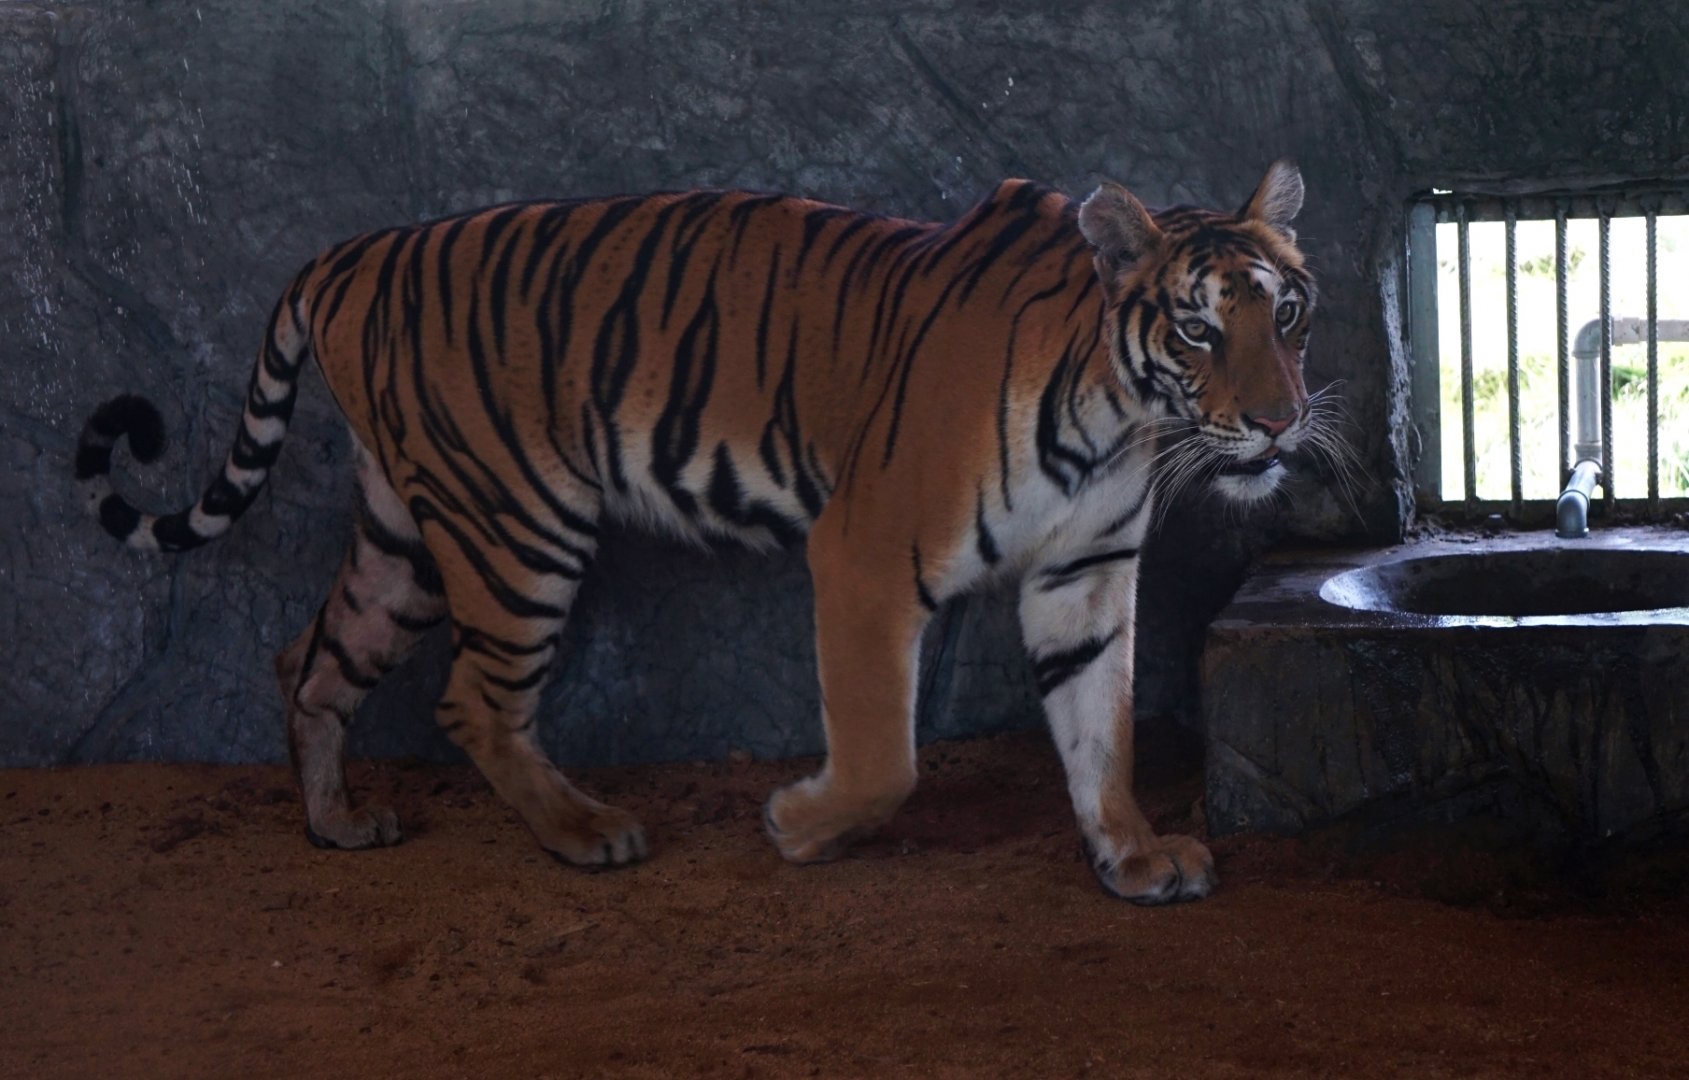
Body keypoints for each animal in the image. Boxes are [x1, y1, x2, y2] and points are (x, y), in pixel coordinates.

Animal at [75, 161, 1317, 905]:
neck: (1121, 417)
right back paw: (583, 832)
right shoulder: (865, 552)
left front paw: (1132, 852)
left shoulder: (1087, 573)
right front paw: (799, 828)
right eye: (1200, 330)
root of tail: (353, 252)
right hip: (514, 528)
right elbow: (886, 756)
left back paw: (337, 823)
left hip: (407, 536)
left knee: (312, 659)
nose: (1280, 422)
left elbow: (1101, 726)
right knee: (470, 699)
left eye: (1289, 313)